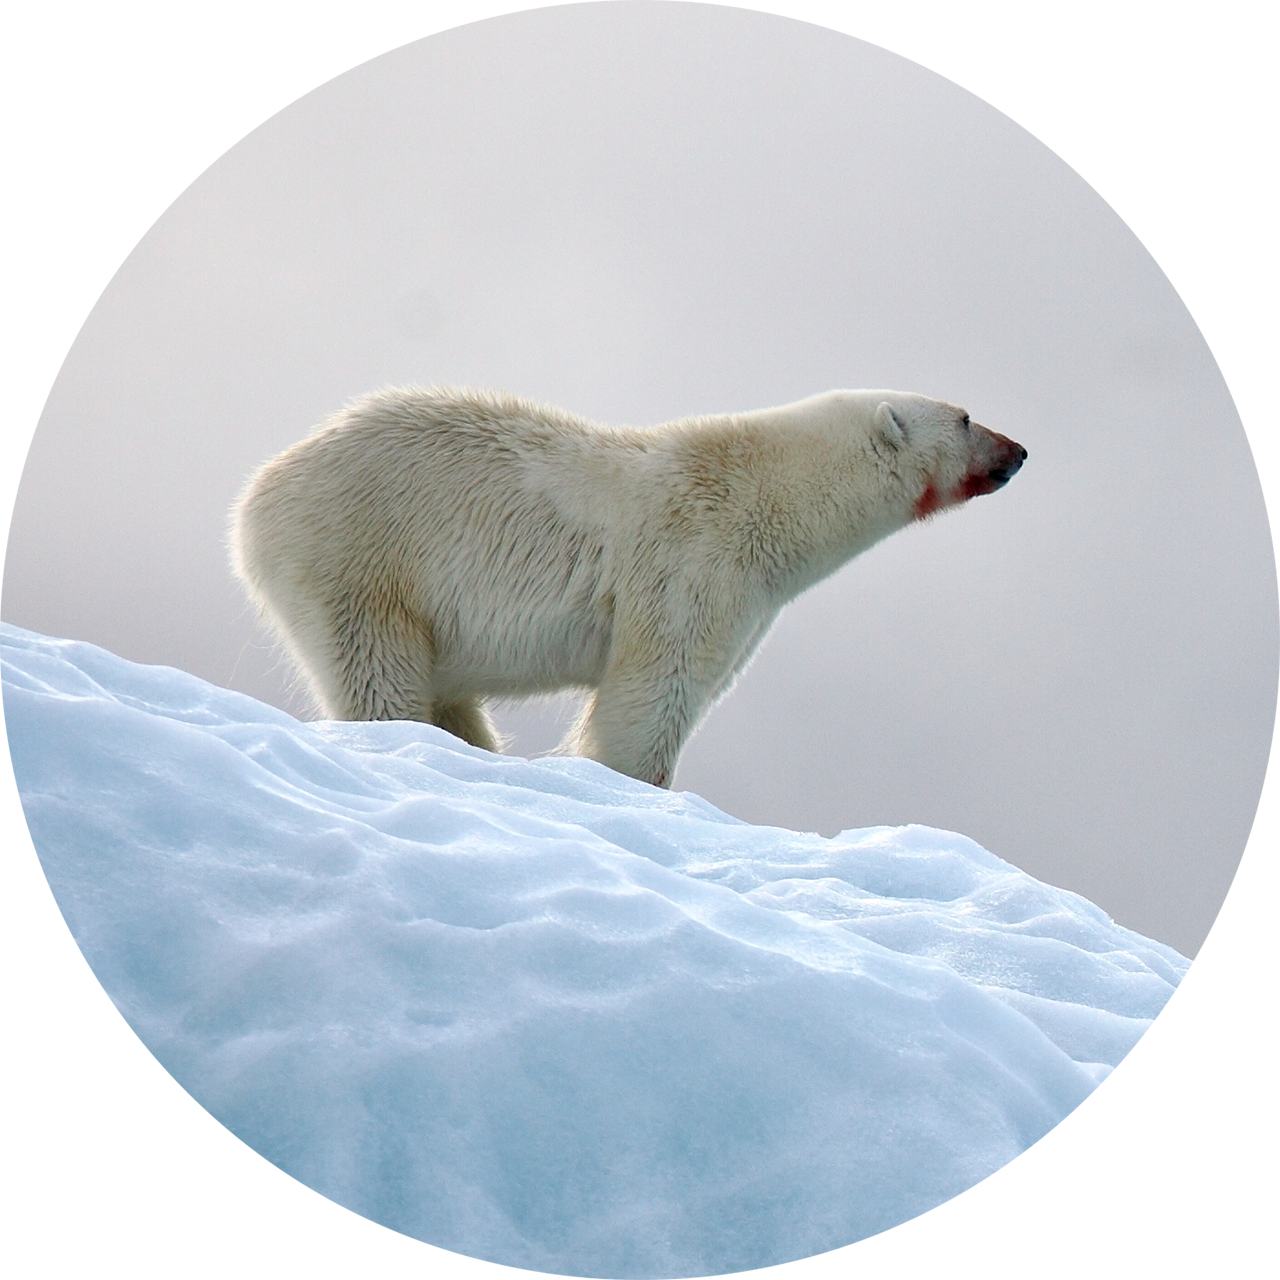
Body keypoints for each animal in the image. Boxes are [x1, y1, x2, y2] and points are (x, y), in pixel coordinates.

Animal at [230, 386, 1025, 787]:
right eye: (964, 417)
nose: (1018, 451)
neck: (770, 494)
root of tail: (256, 497)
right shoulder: (694, 561)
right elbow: (652, 693)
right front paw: (631, 784)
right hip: (361, 556)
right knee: (377, 673)